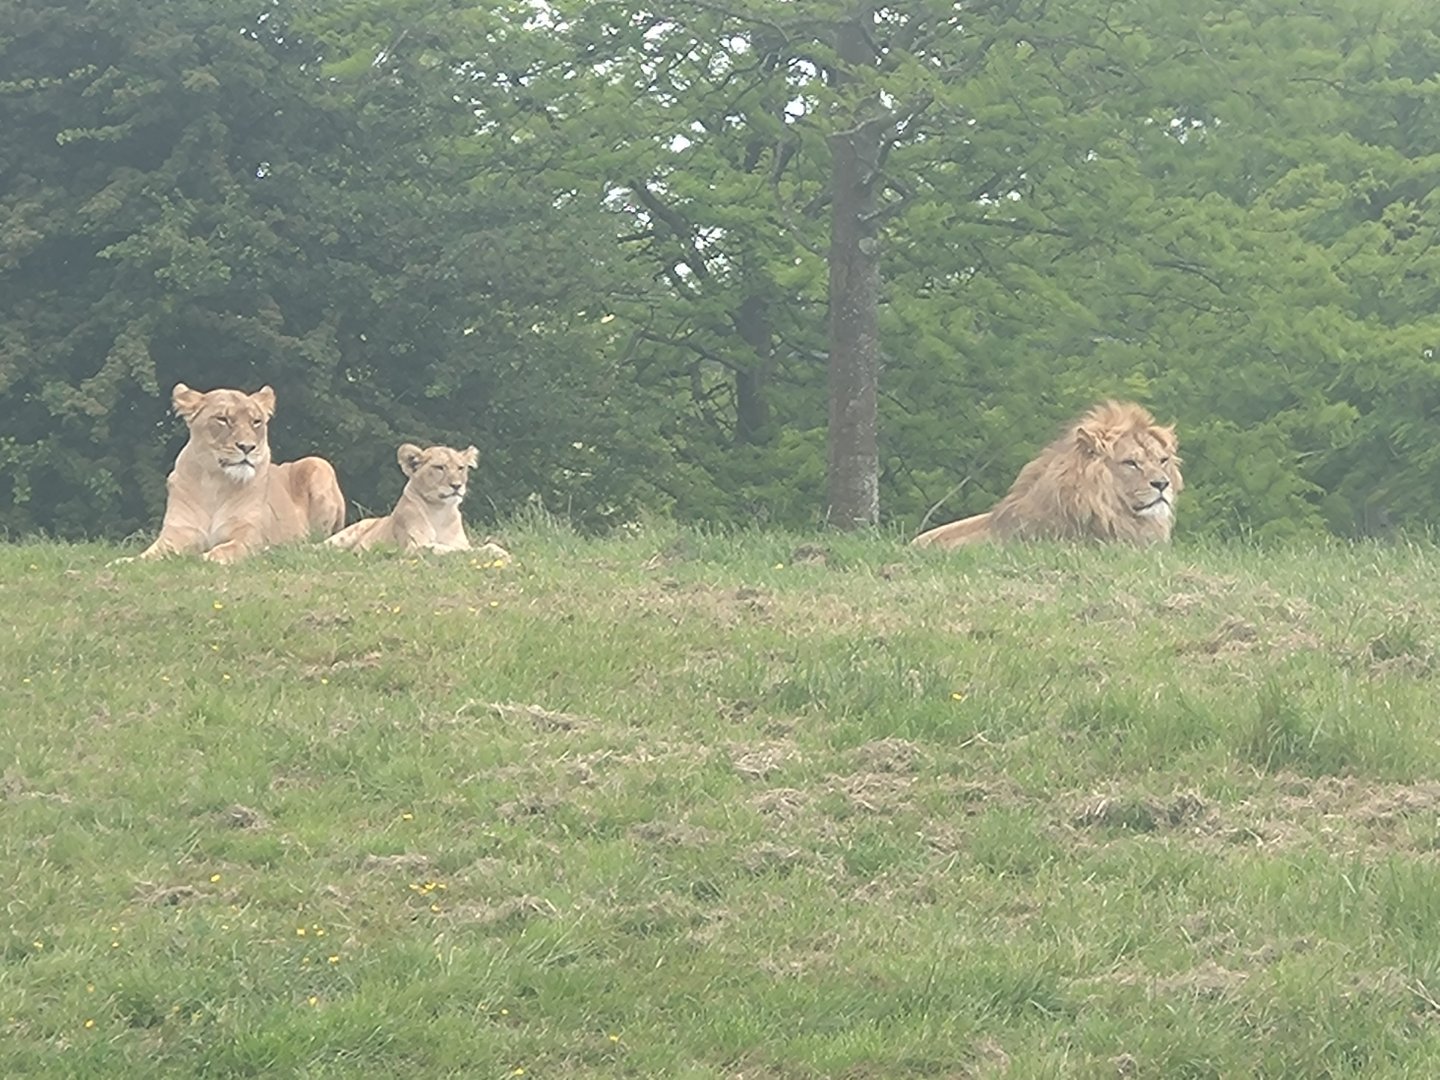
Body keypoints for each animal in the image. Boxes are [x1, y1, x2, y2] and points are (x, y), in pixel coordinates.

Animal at [135, 383, 345, 564]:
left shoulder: (249, 535)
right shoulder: (177, 533)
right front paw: (130, 561)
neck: (214, 484)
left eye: (256, 422)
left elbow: (227, 548)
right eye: (223, 419)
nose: (247, 447)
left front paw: (205, 558)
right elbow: (149, 555)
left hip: (319, 464)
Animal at [325, 443, 498, 556]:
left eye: (460, 468)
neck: (440, 511)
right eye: (439, 467)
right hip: (343, 536)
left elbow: (487, 546)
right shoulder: (414, 547)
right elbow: (444, 548)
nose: (457, 485)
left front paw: (497, 552)